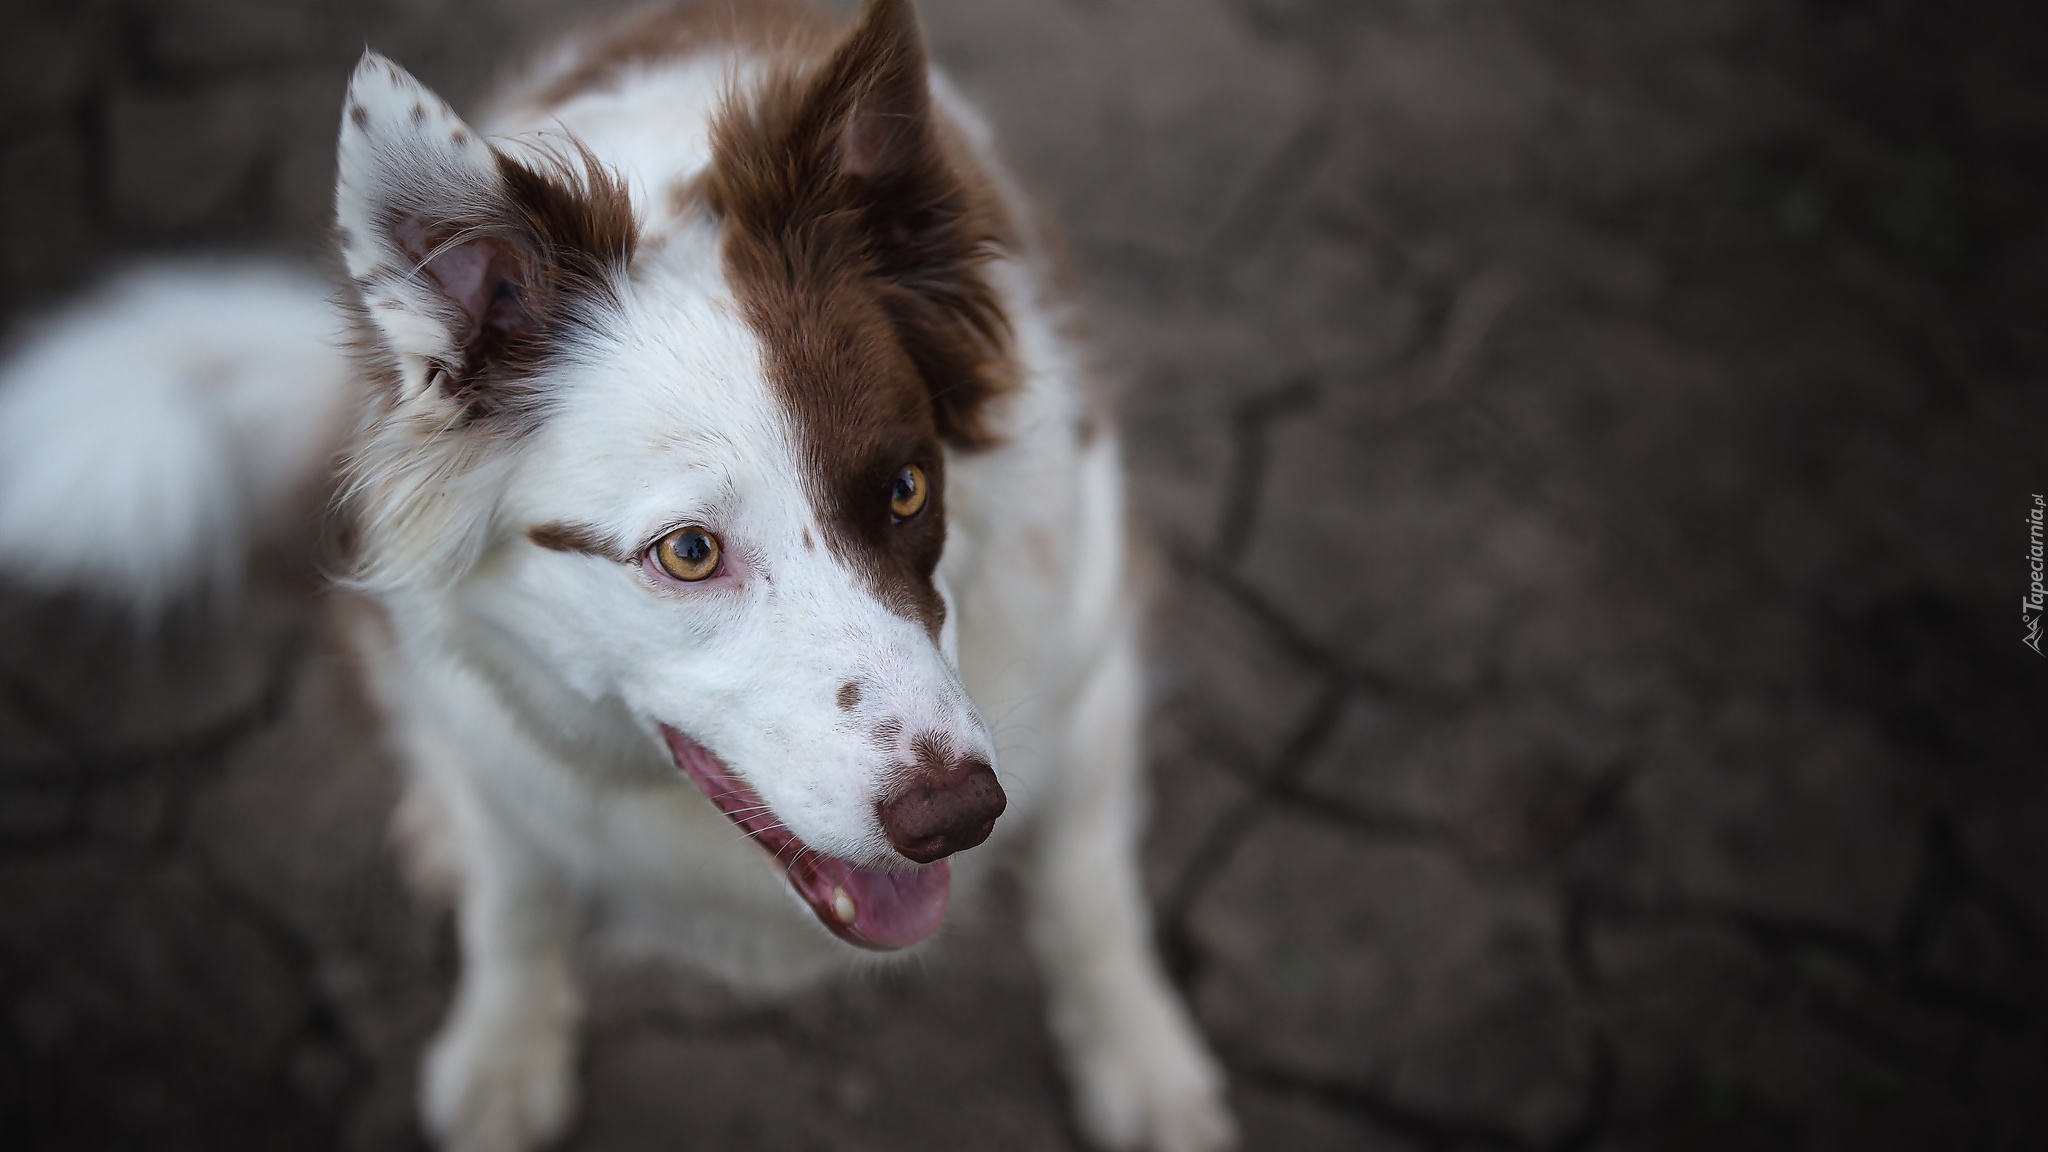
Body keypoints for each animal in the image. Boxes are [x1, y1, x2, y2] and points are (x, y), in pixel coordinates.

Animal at [0, 2, 1228, 1147]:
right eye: (687, 552)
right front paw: (502, 1055)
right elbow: (515, 903)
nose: (960, 816)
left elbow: (1088, 894)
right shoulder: (487, 735)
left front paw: (1141, 1060)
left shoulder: (1089, 657)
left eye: (906, 489)